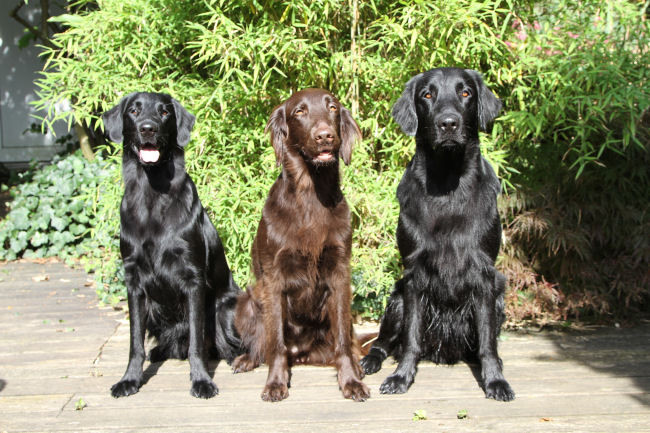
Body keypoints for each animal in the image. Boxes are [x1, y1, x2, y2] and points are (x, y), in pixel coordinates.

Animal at [102, 91, 239, 398]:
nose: (148, 128)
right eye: (133, 111)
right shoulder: (134, 280)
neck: (152, 194)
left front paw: (201, 381)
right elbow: (135, 343)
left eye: (164, 112)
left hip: (227, 307)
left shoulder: (193, 278)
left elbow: (197, 344)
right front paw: (129, 379)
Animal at [232, 88, 370, 402]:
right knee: (262, 345)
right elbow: (276, 343)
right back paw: (247, 359)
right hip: (245, 303)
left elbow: (342, 341)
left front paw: (350, 381)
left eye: (332, 108)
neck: (311, 194)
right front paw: (275, 383)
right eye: (300, 112)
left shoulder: (340, 272)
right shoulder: (273, 277)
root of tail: (303, 353)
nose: (325, 135)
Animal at [360, 68, 512, 402]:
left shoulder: (485, 275)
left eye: (466, 92)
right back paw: (370, 360)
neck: (446, 182)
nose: (448, 123)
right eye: (427, 95)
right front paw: (401, 377)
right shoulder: (414, 275)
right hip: (396, 300)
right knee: (382, 342)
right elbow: (411, 338)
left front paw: (495, 381)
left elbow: (487, 342)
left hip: (498, 299)